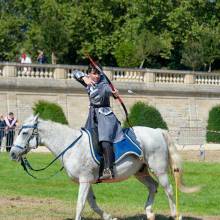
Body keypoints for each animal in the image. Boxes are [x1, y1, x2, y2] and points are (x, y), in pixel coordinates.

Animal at [9, 115, 199, 220]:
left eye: (24, 133)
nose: (12, 153)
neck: (71, 145)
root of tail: (157, 130)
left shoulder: (85, 181)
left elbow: (80, 204)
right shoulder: (87, 181)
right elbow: (92, 203)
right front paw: (108, 216)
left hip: (158, 169)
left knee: (168, 189)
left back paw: (176, 214)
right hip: (140, 172)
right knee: (153, 186)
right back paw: (149, 212)